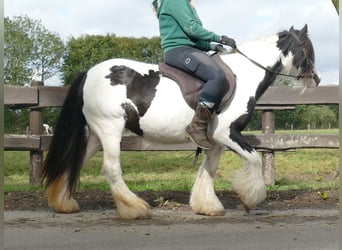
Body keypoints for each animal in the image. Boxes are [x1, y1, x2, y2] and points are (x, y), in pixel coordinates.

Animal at [42, 25, 320, 219]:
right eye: (307, 47)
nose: (315, 79)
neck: (244, 75)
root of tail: (89, 72)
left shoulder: (214, 140)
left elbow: (209, 169)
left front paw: (208, 206)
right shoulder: (227, 134)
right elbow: (253, 159)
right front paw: (250, 199)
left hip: (97, 133)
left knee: (76, 161)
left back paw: (64, 203)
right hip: (110, 129)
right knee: (111, 169)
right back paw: (135, 209)